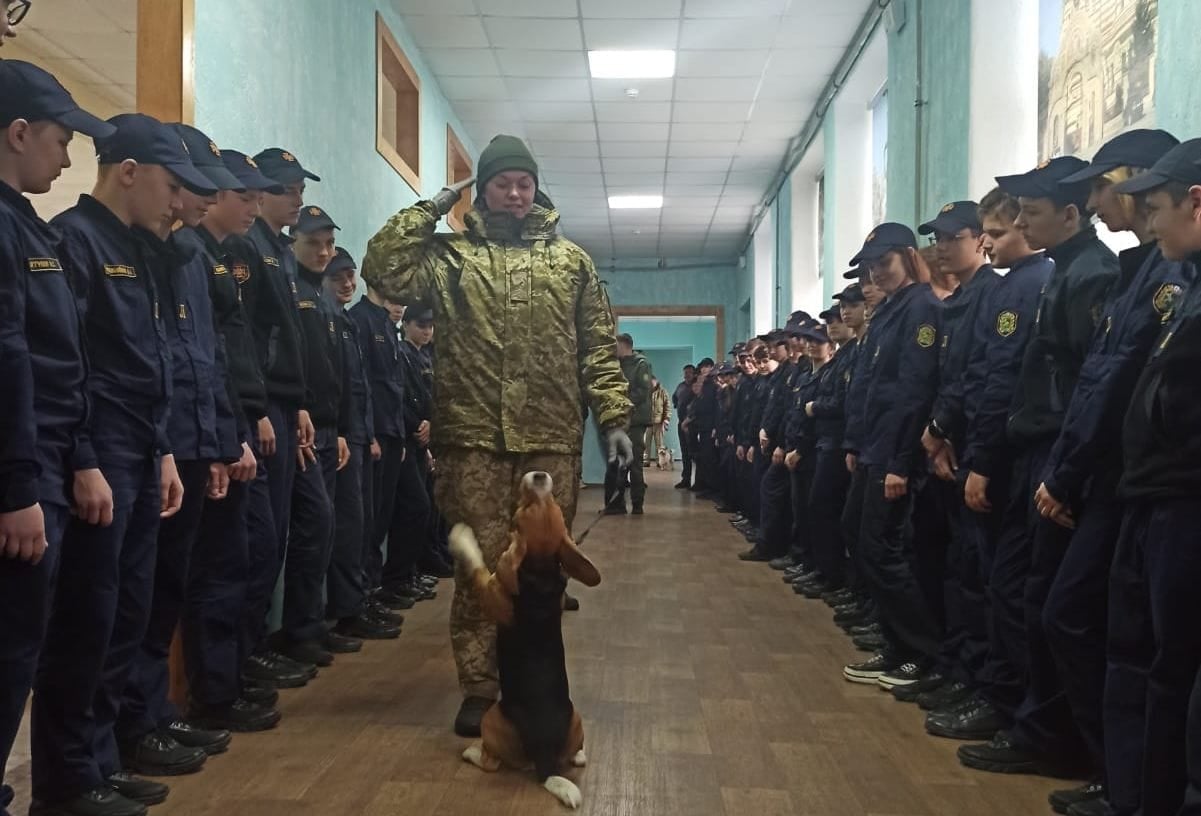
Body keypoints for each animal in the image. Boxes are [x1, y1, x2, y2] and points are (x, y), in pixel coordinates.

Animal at [449, 473, 600, 812]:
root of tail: (544, 759)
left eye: (519, 517)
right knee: (574, 755)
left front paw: (463, 539)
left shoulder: (491, 592)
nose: (540, 476)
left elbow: (479, 567)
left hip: (491, 720)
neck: (539, 567)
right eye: (551, 503)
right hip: (576, 717)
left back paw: (471, 752)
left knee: (490, 762)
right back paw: (579, 755)